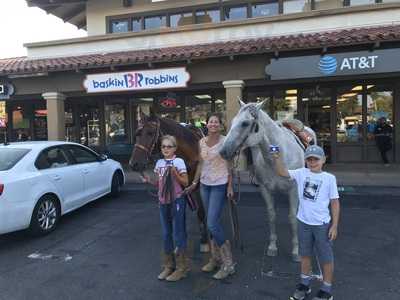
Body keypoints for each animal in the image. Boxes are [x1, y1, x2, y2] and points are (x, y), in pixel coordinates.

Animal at [130, 111, 209, 252]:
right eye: (137, 133)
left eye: (150, 132)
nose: (134, 164)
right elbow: (180, 212)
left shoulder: (196, 185)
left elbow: (200, 210)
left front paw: (204, 238)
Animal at [219, 99, 316, 262]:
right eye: (232, 121)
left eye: (245, 123)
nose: (223, 151)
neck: (279, 158)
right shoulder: (265, 190)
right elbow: (271, 216)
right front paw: (272, 247)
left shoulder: (293, 190)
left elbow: (292, 218)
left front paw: (296, 251)